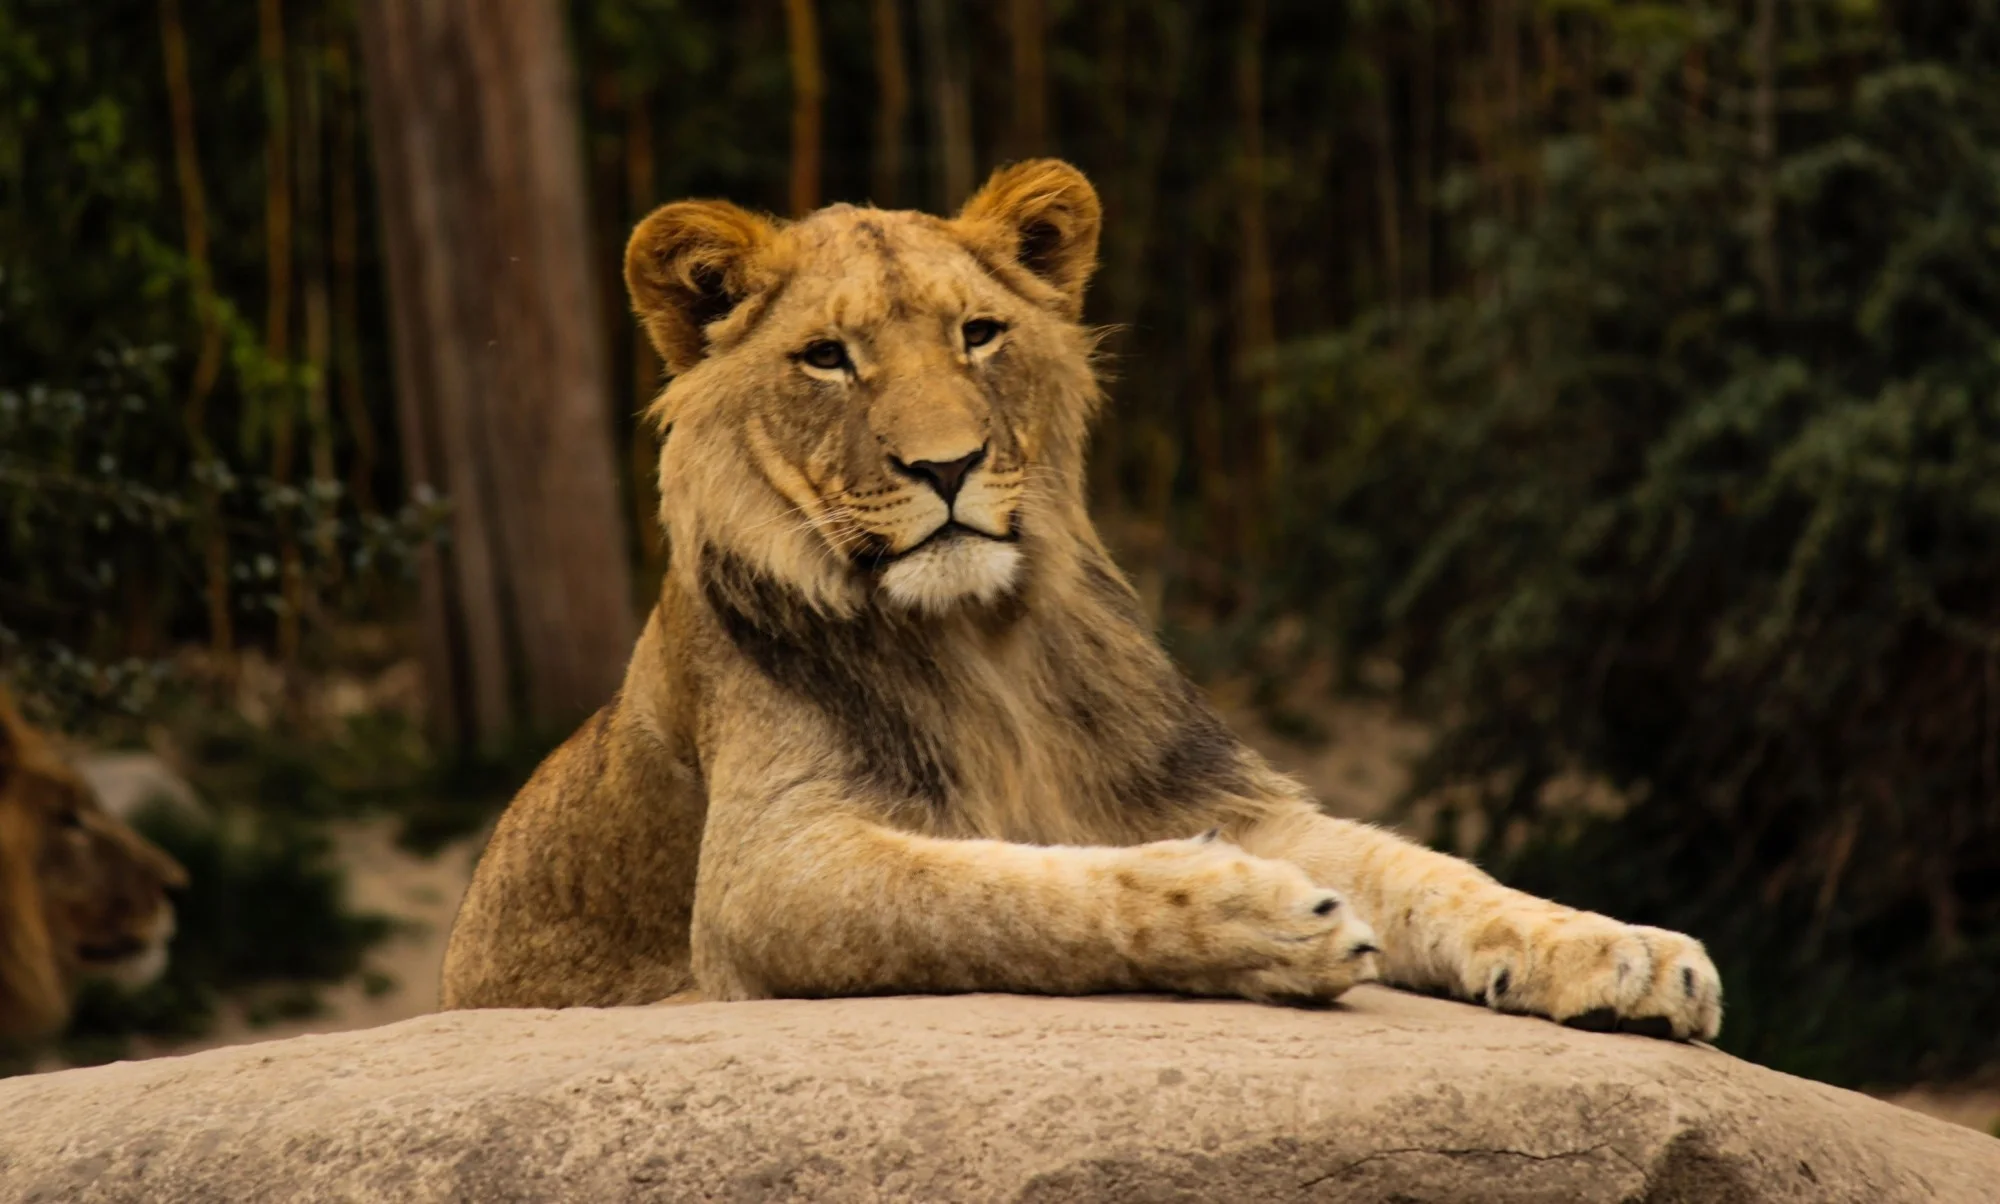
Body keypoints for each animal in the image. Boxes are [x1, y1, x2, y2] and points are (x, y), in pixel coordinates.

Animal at [441, 160, 1722, 1041]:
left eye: (979, 333)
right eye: (827, 358)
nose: (946, 468)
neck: (979, 639)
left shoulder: (1225, 793)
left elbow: (1431, 871)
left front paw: (1621, 950)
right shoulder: (765, 877)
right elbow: (994, 893)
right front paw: (1251, 916)